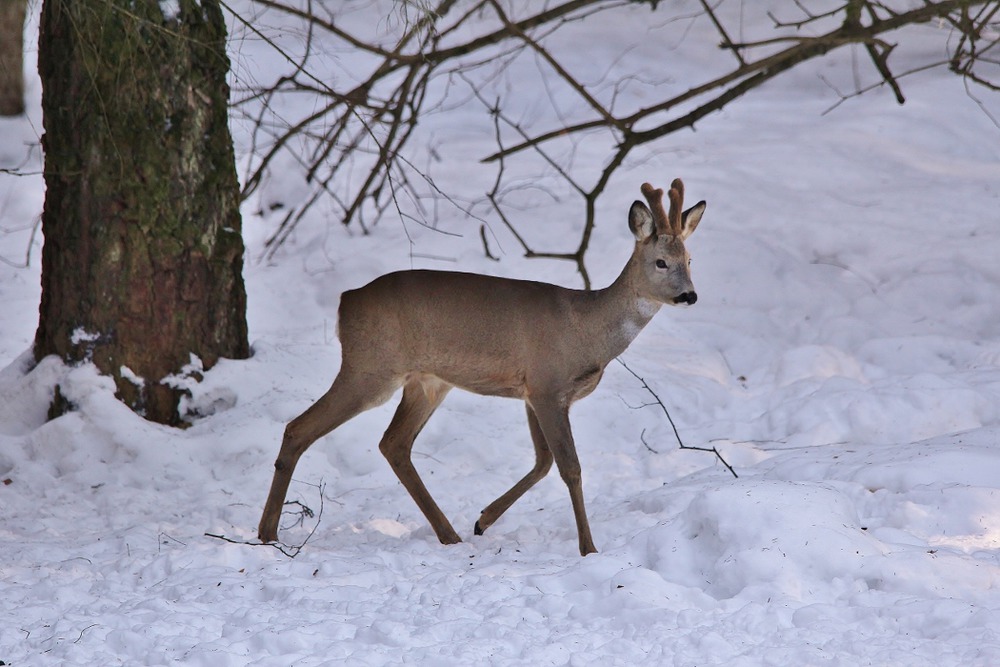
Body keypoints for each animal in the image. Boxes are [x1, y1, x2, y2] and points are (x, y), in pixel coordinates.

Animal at [262, 179, 708, 560]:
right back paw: (267, 533)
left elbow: (543, 462)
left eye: (690, 259)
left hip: (426, 382)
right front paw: (589, 549)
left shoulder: (534, 393)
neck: (587, 330)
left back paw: (450, 535)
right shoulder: (547, 385)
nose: (690, 295)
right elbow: (570, 467)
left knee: (394, 444)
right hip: (370, 367)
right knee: (299, 428)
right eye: (661, 262)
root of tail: (345, 302)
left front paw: (483, 520)